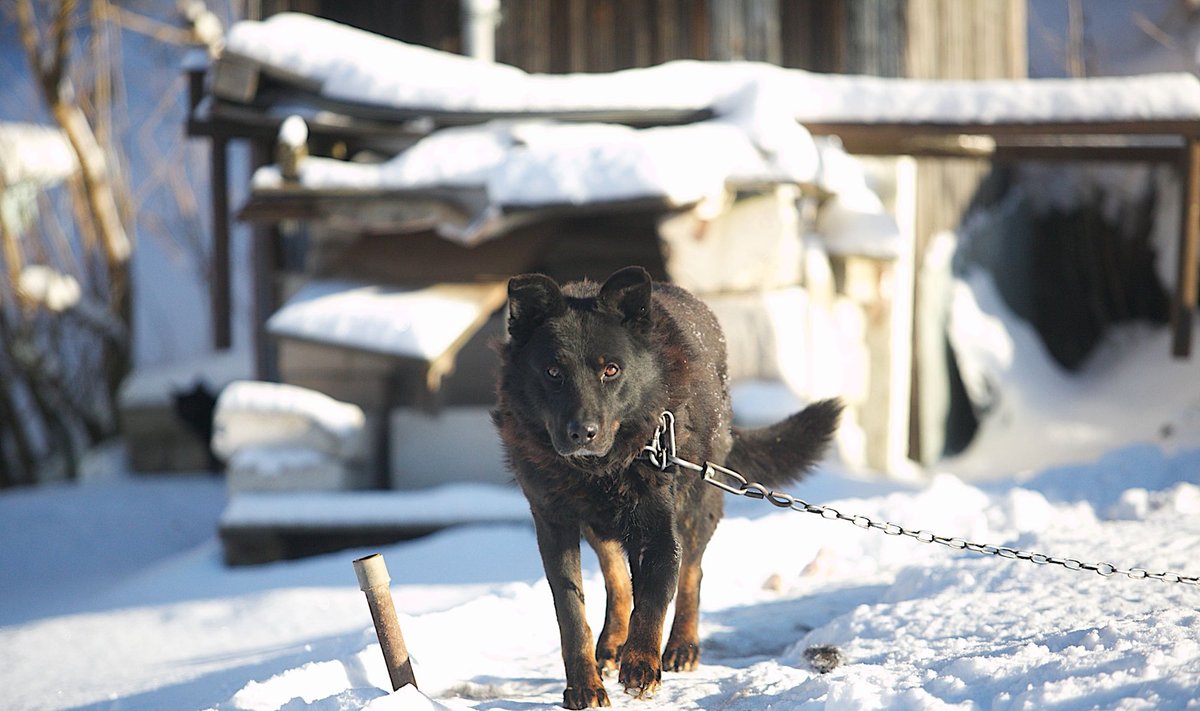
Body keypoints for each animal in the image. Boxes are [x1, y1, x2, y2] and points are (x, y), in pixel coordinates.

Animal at [492, 266, 840, 706]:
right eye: (553, 372)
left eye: (611, 370)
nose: (581, 433)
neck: (604, 467)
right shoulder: (555, 526)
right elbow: (573, 614)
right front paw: (584, 685)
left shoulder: (658, 529)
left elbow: (655, 597)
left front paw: (641, 663)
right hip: (600, 524)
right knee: (617, 578)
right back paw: (612, 644)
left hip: (697, 508)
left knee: (692, 574)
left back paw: (681, 647)